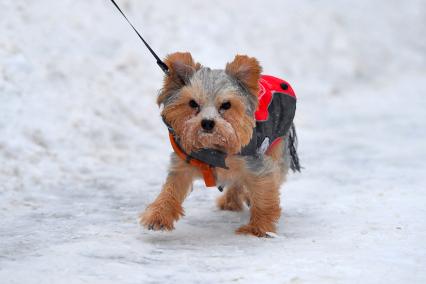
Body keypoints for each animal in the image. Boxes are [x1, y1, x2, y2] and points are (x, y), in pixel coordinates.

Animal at [141, 52, 300, 236]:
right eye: (193, 103)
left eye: (226, 105)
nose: (207, 123)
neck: (213, 149)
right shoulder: (182, 165)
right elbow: (170, 190)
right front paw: (158, 216)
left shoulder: (256, 165)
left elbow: (264, 195)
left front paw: (257, 228)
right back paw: (231, 201)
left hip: (277, 146)